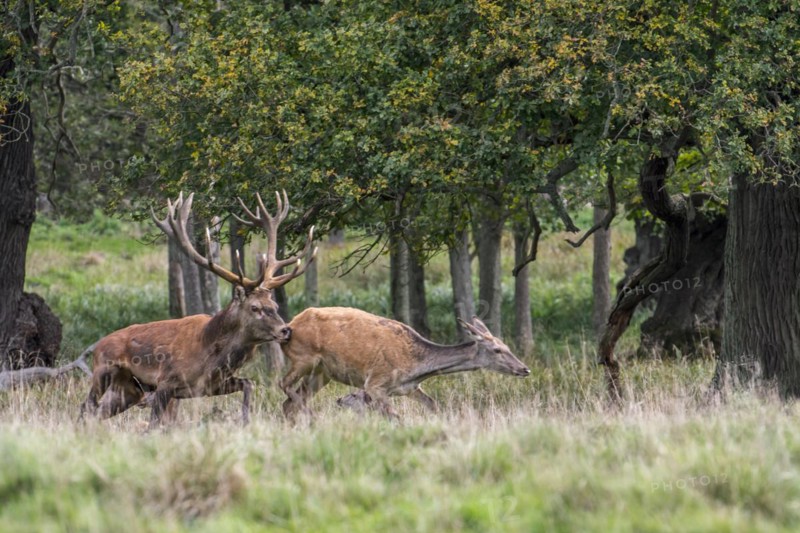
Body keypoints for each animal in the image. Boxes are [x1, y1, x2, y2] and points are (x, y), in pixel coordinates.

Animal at [79, 190, 316, 428]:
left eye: (274, 305)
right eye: (255, 307)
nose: (285, 330)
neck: (211, 357)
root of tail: (97, 346)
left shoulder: (212, 385)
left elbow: (249, 384)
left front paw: (245, 420)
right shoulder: (166, 382)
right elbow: (154, 423)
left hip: (128, 390)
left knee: (96, 412)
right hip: (104, 371)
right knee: (86, 406)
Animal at [278, 307, 530, 419]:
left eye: (507, 346)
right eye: (497, 350)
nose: (524, 369)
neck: (415, 367)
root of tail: (291, 324)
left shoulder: (409, 388)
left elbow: (433, 405)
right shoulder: (375, 384)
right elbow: (397, 417)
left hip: (322, 374)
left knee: (289, 403)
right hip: (303, 358)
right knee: (284, 387)